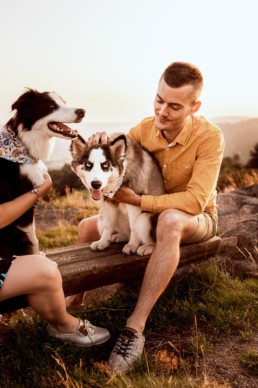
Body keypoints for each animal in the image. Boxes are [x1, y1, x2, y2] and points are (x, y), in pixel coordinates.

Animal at [0, 88, 85, 258]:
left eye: (64, 102)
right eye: (51, 106)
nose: (82, 111)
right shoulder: (23, 209)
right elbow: (33, 238)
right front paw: (35, 257)